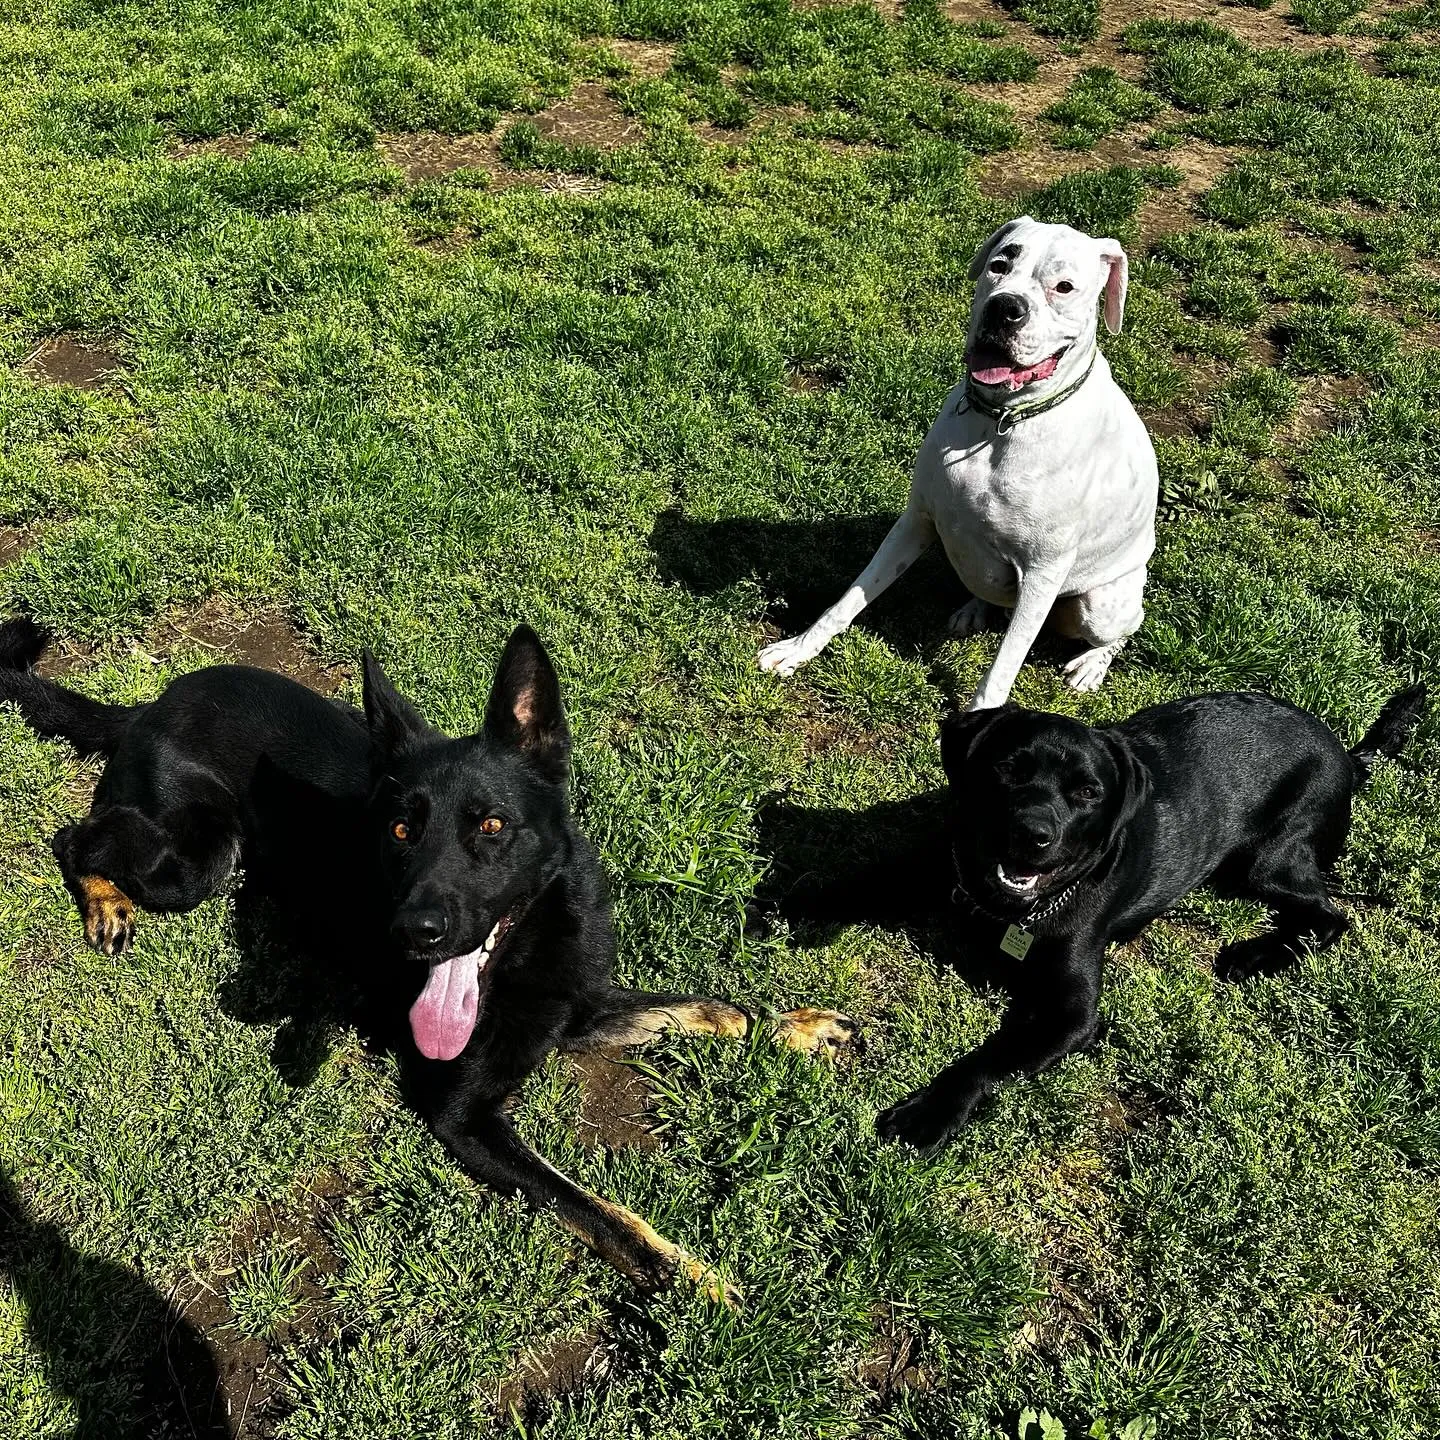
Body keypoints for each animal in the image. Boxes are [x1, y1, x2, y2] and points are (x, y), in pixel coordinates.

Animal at [754, 214, 1157, 708]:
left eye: (1064, 287)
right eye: (1001, 264)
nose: (1005, 307)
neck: (1000, 422)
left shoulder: (1043, 574)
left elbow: (1003, 667)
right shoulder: (916, 521)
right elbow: (850, 598)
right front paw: (798, 649)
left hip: (1099, 604)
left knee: (1118, 633)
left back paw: (1090, 666)